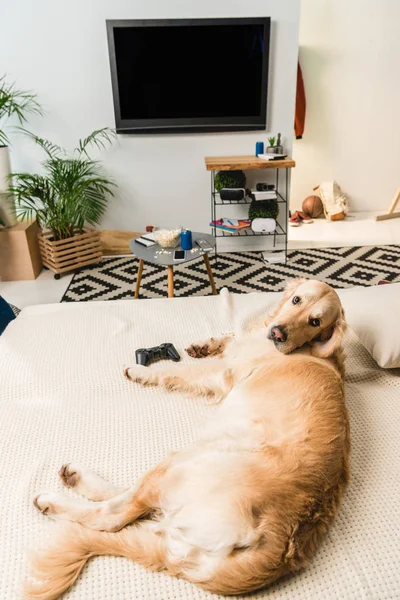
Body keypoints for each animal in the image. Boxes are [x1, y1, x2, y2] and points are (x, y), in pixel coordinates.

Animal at [25, 278, 350, 600]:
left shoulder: (224, 371)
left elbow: (179, 370)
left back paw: (52, 501)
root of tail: (275, 550)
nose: (277, 334)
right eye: (296, 300)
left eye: (315, 321)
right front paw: (205, 344)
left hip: (186, 463)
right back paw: (75, 477)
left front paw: (141, 370)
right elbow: (231, 336)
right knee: (135, 500)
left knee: (114, 515)